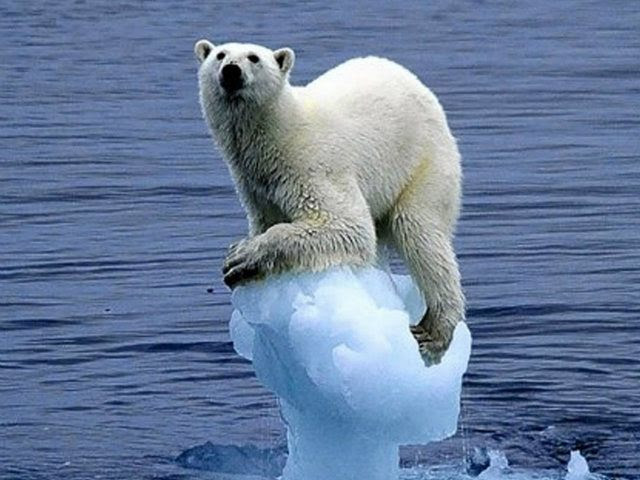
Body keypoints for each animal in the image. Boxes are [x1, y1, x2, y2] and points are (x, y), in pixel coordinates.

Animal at [194, 40, 464, 364]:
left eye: (254, 57)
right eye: (220, 55)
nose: (231, 71)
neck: (278, 133)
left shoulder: (311, 166)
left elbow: (346, 225)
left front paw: (240, 257)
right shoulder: (256, 186)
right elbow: (267, 219)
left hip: (424, 162)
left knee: (421, 234)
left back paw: (434, 332)